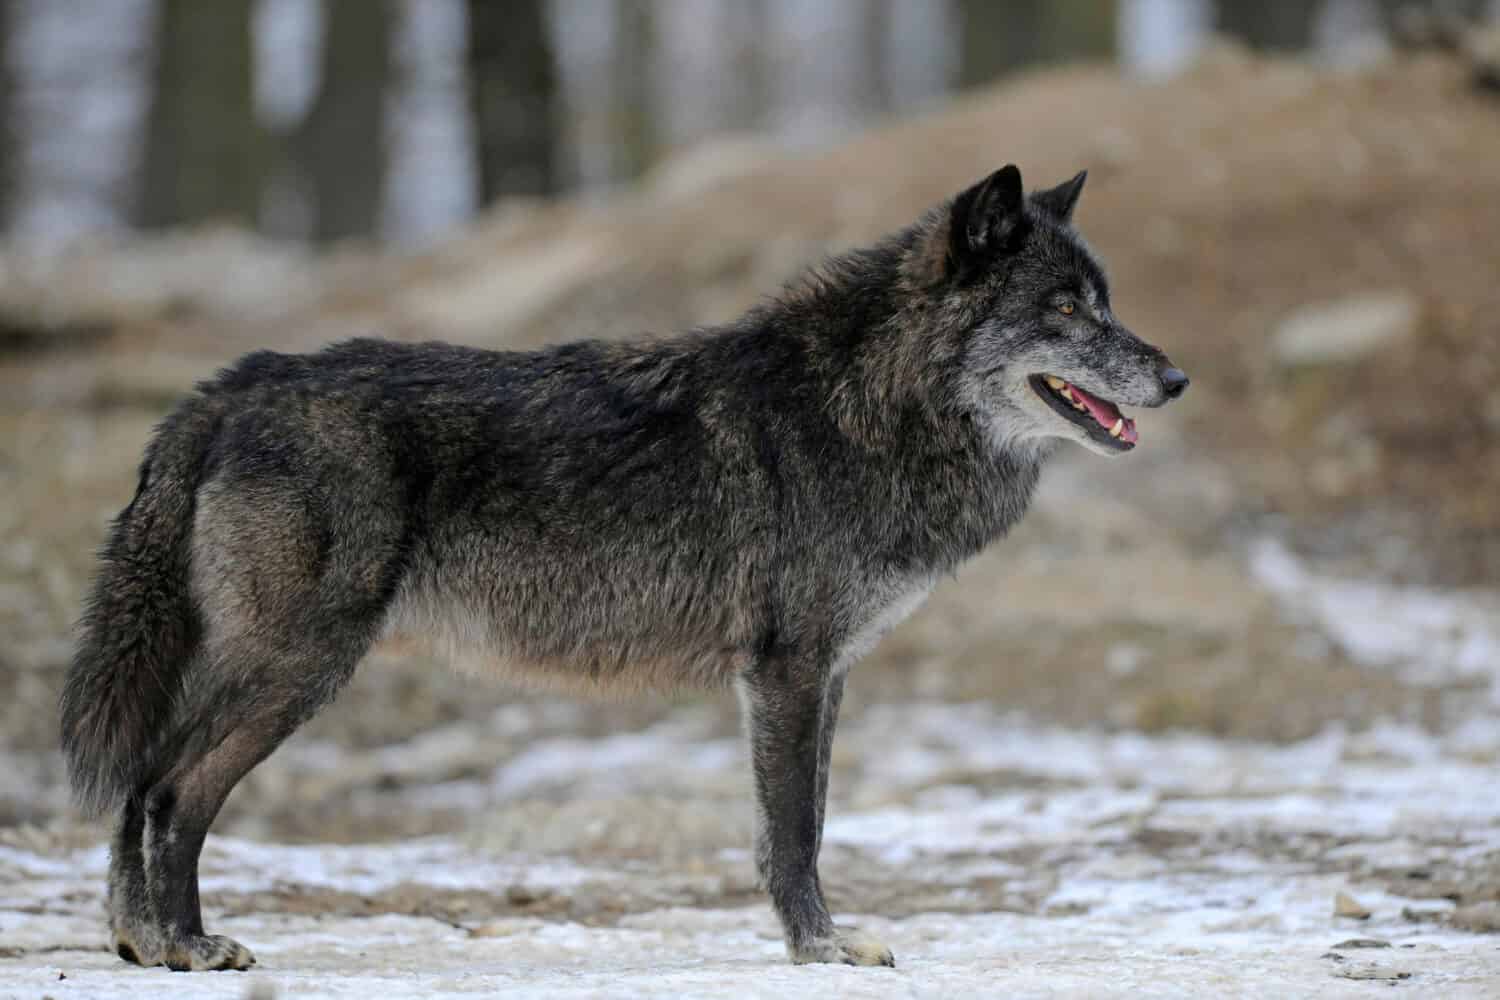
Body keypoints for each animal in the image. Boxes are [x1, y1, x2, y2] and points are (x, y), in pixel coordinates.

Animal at [58, 164, 1188, 971]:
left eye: (1105, 301)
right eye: (1066, 310)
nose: (1177, 377)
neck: (864, 406)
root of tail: (233, 384)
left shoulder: (821, 676)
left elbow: (804, 820)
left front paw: (817, 938)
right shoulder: (787, 670)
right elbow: (796, 829)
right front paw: (819, 948)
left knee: (140, 777)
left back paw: (136, 942)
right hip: (299, 668)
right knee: (173, 788)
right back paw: (189, 944)